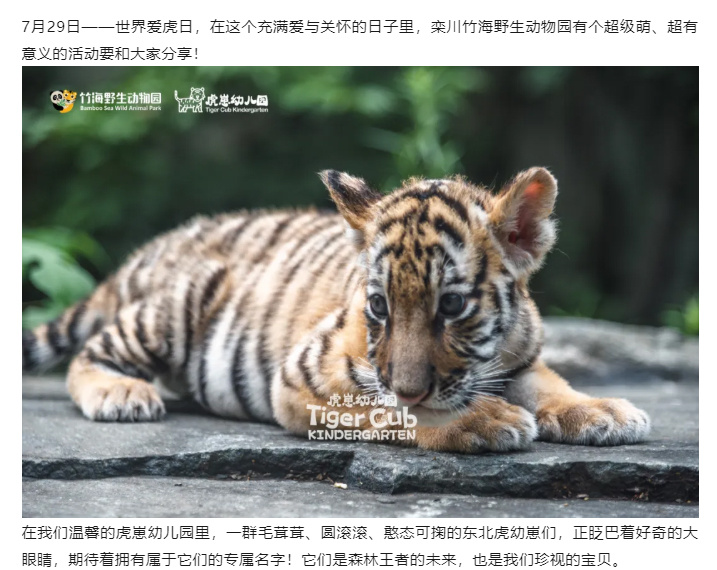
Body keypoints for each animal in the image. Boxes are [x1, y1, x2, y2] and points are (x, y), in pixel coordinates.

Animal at [22, 167, 651, 452]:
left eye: (451, 306)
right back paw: (121, 394)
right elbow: (398, 411)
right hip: (178, 305)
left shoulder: (521, 359)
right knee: (89, 351)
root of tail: (156, 246)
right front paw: (485, 421)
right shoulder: (303, 378)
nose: (411, 385)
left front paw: (603, 411)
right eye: (378, 306)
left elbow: (552, 386)